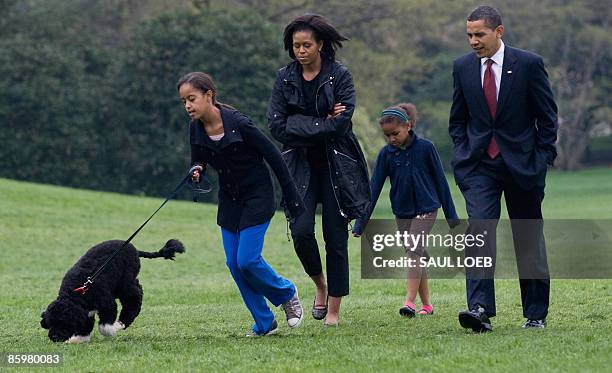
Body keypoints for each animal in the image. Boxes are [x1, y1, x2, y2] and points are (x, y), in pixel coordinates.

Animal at [41, 240, 184, 342]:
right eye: (50, 323)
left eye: (63, 322)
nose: (54, 337)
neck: (78, 292)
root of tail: (133, 248)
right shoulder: (87, 311)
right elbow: (86, 325)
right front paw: (79, 339)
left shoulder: (107, 303)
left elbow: (104, 326)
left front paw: (113, 329)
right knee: (137, 288)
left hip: (125, 282)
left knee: (135, 295)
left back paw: (123, 322)